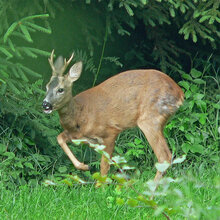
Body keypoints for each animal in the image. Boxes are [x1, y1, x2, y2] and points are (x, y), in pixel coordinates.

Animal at [42, 50, 184, 181]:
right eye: (47, 87)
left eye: (60, 89)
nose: (45, 104)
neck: (79, 115)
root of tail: (180, 93)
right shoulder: (82, 137)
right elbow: (60, 138)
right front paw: (84, 166)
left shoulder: (110, 132)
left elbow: (104, 166)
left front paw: (101, 186)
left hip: (150, 118)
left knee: (164, 156)